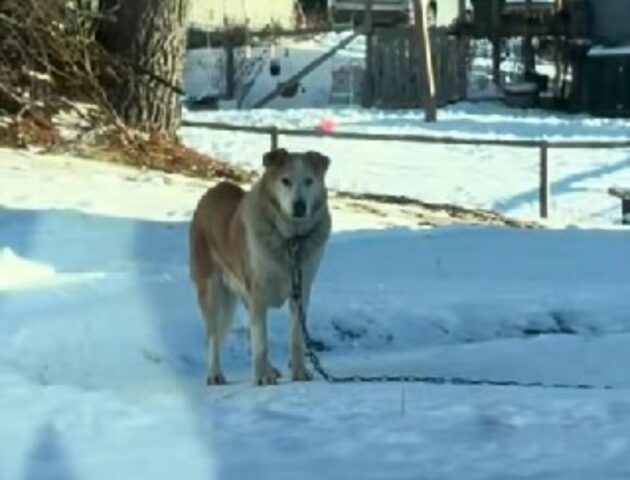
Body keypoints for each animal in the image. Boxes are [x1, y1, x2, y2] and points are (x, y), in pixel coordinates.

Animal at [190, 148, 334, 384]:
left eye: (309, 181)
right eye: (285, 181)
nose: (299, 205)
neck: (290, 240)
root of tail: (213, 190)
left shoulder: (301, 290)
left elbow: (296, 337)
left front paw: (299, 372)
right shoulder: (257, 290)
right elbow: (261, 341)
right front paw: (262, 378)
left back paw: (269, 368)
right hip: (211, 288)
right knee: (213, 335)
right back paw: (215, 374)